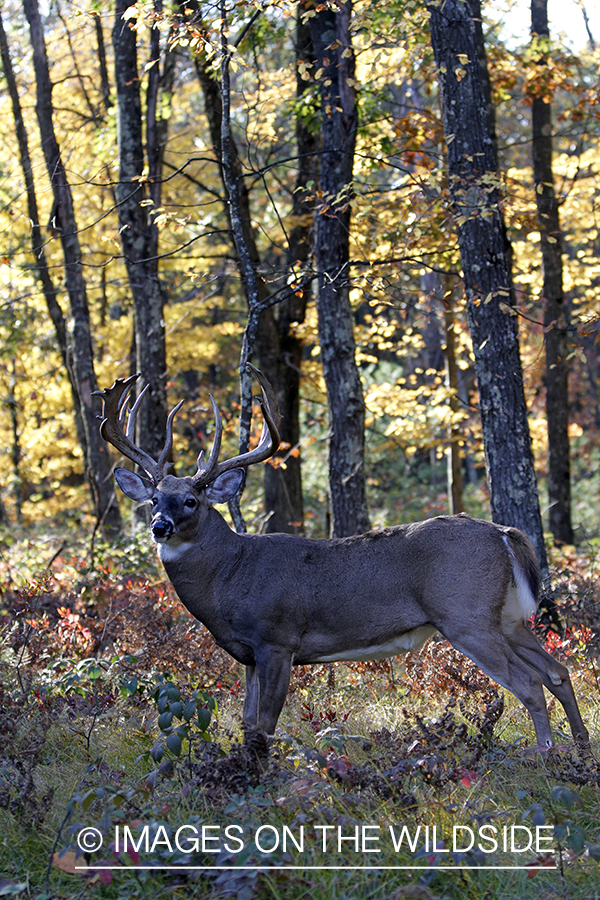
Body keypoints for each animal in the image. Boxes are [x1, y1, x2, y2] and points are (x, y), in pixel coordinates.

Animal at [96, 366, 588, 752]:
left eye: (191, 501)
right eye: (154, 498)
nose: (159, 526)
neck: (230, 576)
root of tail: (503, 533)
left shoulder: (278, 639)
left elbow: (265, 725)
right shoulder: (250, 655)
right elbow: (248, 723)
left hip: (466, 615)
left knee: (529, 684)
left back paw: (546, 755)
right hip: (506, 617)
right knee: (558, 671)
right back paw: (581, 748)